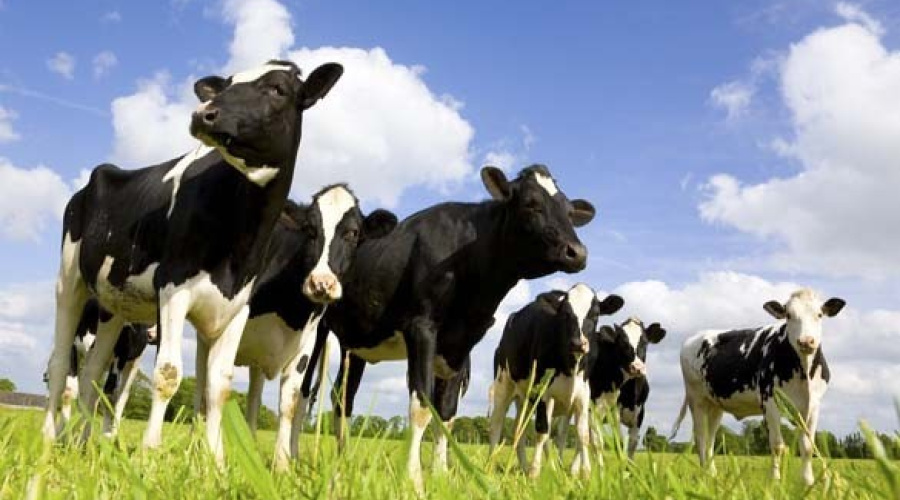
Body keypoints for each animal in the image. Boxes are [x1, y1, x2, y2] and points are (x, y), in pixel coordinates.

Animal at [43, 59, 343, 463]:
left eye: (278, 89)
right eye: (227, 84)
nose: (204, 114)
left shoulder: (237, 306)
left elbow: (218, 386)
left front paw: (216, 462)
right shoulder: (173, 288)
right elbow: (168, 374)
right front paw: (149, 454)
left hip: (114, 305)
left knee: (92, 373)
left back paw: (78, 446)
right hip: (69, 280)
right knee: (61, 365)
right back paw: (49, 438)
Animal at [190, 185, 397, 470]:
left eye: (353, 233)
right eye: (310, 228)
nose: (321, 283)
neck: (289, 306)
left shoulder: (307, 340)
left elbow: (290, 399)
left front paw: (283, 465)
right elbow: (218, 384)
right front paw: (215, 461)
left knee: (258, 397)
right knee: (201, 386)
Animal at [303, 164, 597, 490]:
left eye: (570, 212)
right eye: (532, 204)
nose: (578, 252)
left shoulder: (462, 344)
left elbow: (445, 411)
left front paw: (441, 473)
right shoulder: (422, 327)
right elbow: (421, 406)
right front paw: (414, 477)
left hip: (355, 347)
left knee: (343, 399)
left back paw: (342, 460)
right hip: (317, 326)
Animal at [487, 284, 624, 477]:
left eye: (595, 314)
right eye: (565, 313)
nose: (578, 343)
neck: (571, 367)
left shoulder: (583, 395)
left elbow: (583, 435)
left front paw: (586, 474)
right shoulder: (544, 394)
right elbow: (542, 432)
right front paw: (534, 472)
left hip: (524, 398)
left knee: (518, 430)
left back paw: (524, 467)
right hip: (503, 385)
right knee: (496, 425)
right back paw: (490, 467)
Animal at [670, 288, 846, 485]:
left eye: (820, 314)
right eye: (789, 315)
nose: (806, 341)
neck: (804, 373)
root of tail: (694, 337)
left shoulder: (813, 405)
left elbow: (807, 445)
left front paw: (808, 482)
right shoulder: (770, 402)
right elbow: (777, 445)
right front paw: (775, 481)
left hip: (715, 405)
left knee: (710, 439)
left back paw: (712, 475)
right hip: (697, 399)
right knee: (700, 437)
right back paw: (704, 476)